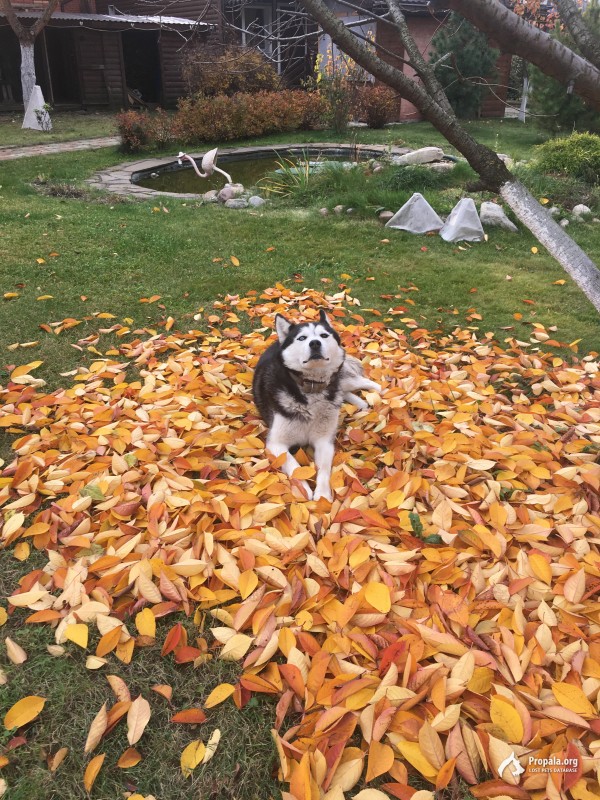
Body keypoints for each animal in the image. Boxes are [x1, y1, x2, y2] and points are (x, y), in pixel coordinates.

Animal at [253, 308, 380, 500]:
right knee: (345, 392)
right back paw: (361, 403)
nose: (315, 343)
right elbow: (293, 465)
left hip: (345, 379)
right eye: (302, 338)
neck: (312, 388)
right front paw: (303, 489)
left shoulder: (324, 441)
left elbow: (325, 469)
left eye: (324, 335)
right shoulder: (276, 443)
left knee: (371, 384)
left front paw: (322, 496)